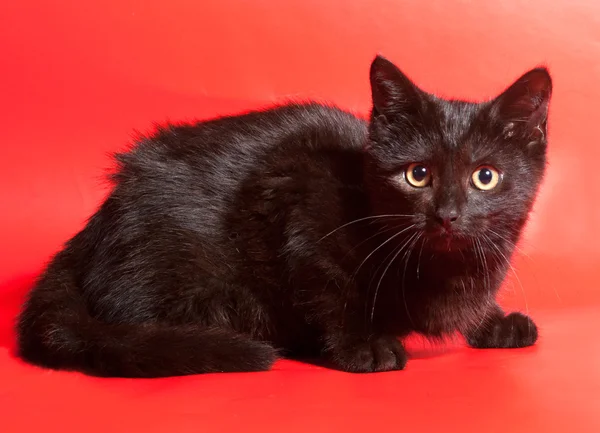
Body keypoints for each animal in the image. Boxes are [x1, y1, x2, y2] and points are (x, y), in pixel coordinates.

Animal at [14, 56, 552, 374]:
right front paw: (364, 345)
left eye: (486, 177)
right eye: (417, 175)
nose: (447, 215)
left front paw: (494, 321)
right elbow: (329, 290)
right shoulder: (299, 193)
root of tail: (95, 226)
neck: (444, 268)